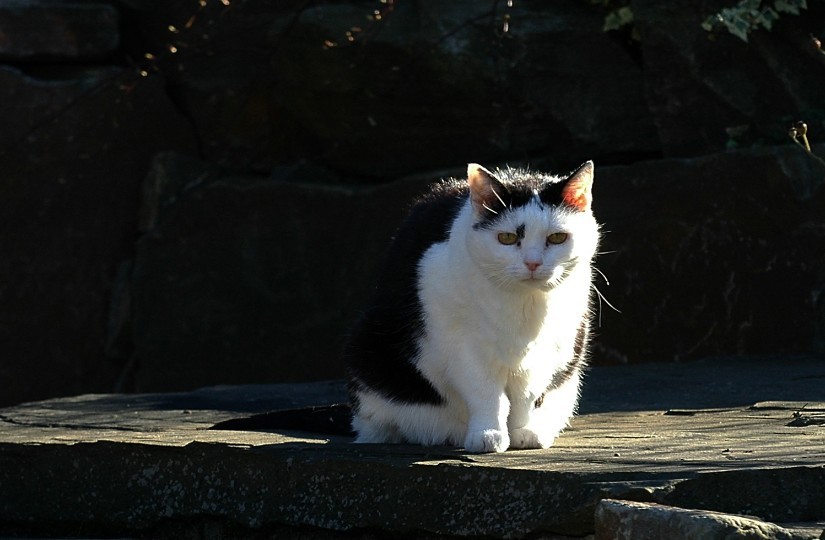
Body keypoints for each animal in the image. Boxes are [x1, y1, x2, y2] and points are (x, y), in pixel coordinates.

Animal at [344, 161, 600, 453]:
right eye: (507, 238)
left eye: (557, 238)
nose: (533, 263)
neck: (522, 304)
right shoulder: (462, 343)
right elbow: (485, 392)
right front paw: (488, 434)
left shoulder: (546, 349)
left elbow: (526, 395)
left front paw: (525, 431)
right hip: (367, 348)